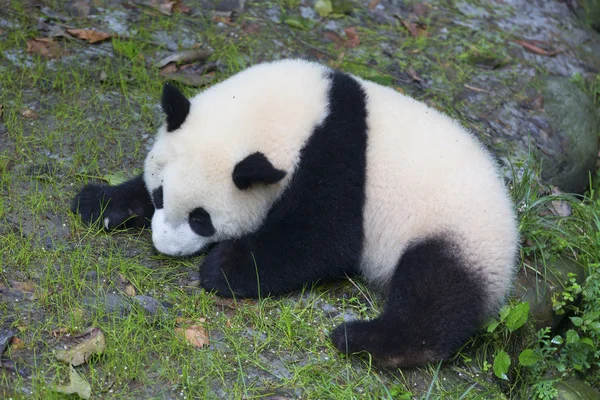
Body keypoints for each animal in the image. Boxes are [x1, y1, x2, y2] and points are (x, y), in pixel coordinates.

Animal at [72, 57, 516, 368]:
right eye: (161, 195)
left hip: (457, 229)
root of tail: (511, 228)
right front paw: (101, 203)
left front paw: (225, 265)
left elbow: (324, 239)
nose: (164, 246)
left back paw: (365, 341)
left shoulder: (337, 159)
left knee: (434, 291)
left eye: (201, 219)